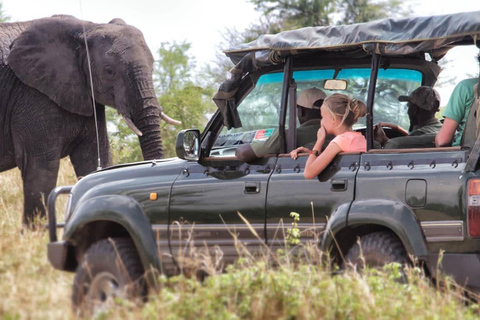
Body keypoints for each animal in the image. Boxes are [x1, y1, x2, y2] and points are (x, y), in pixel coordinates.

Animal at [0, 14, 178, 225]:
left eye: (153, 66)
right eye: (109, 71)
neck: (87, 28)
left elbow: (93, 159)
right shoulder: (31, 94)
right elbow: (40, 167)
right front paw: (37, 231)